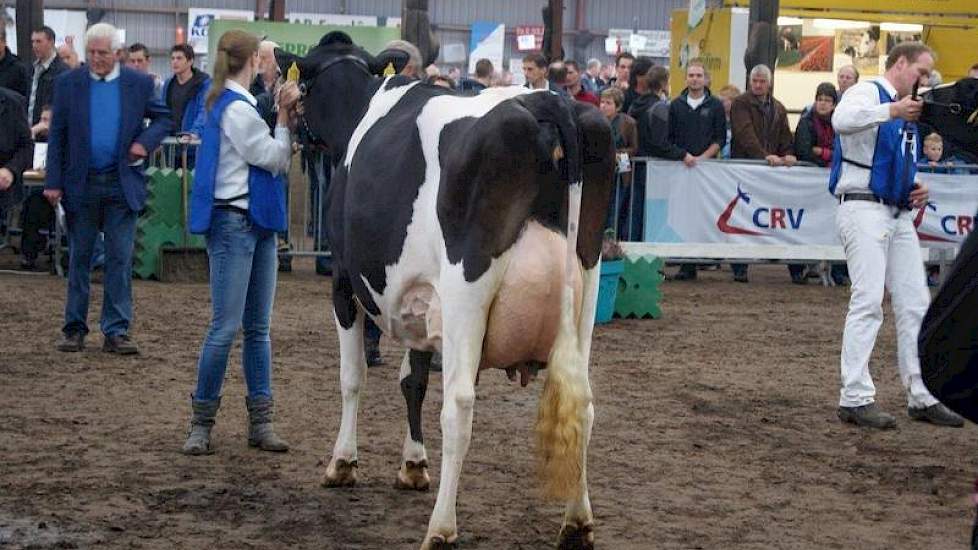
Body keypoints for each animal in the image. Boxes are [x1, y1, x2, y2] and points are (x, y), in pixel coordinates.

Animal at [278, 32, 608, 548]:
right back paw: (577, 524)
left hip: (466, 291)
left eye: (303, 87)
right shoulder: (422, 300)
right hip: (586, 288)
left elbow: (353, 377)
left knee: (459, 408)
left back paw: (441, 529)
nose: (295, 128)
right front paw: (412, 465)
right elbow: (413, 381)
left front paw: (342, 463)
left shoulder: (343, 282)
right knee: (584, 407)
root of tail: (547, 100)